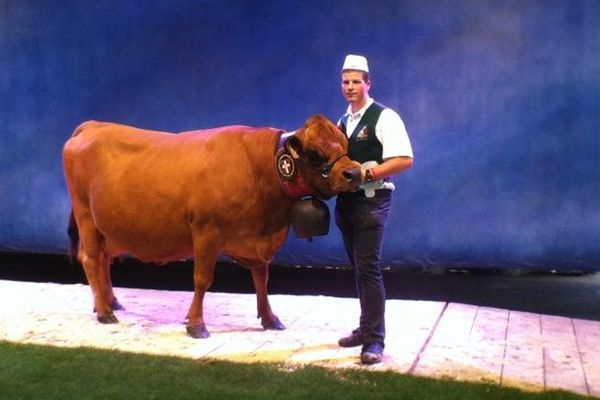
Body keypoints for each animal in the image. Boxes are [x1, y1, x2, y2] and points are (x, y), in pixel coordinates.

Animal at [62, 115, 360, 338]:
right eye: (315, 153)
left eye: (345, 146)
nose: (354, 173)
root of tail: (93, 125)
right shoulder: (207, 232)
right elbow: (202, 279)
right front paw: (196, 324)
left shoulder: (255, 241)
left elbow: (262, 278)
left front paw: (269, 318)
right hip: (85, 215)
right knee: (90, 258)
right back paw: (104, 311)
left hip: (105, 227)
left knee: (103, 259)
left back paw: (110, 301)